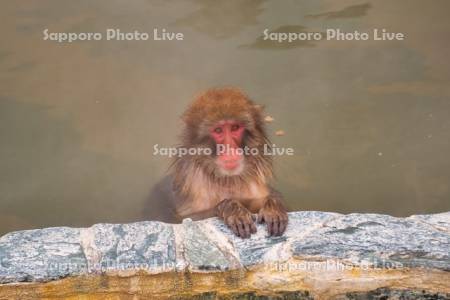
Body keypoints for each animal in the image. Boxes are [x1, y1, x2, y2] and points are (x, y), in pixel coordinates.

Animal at [148, 88, 288, 238]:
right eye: (218, 130)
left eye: (235, 127)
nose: (229, 149)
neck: (226, 180)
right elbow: (185, 221)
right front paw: (231, 208)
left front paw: (273, 205)